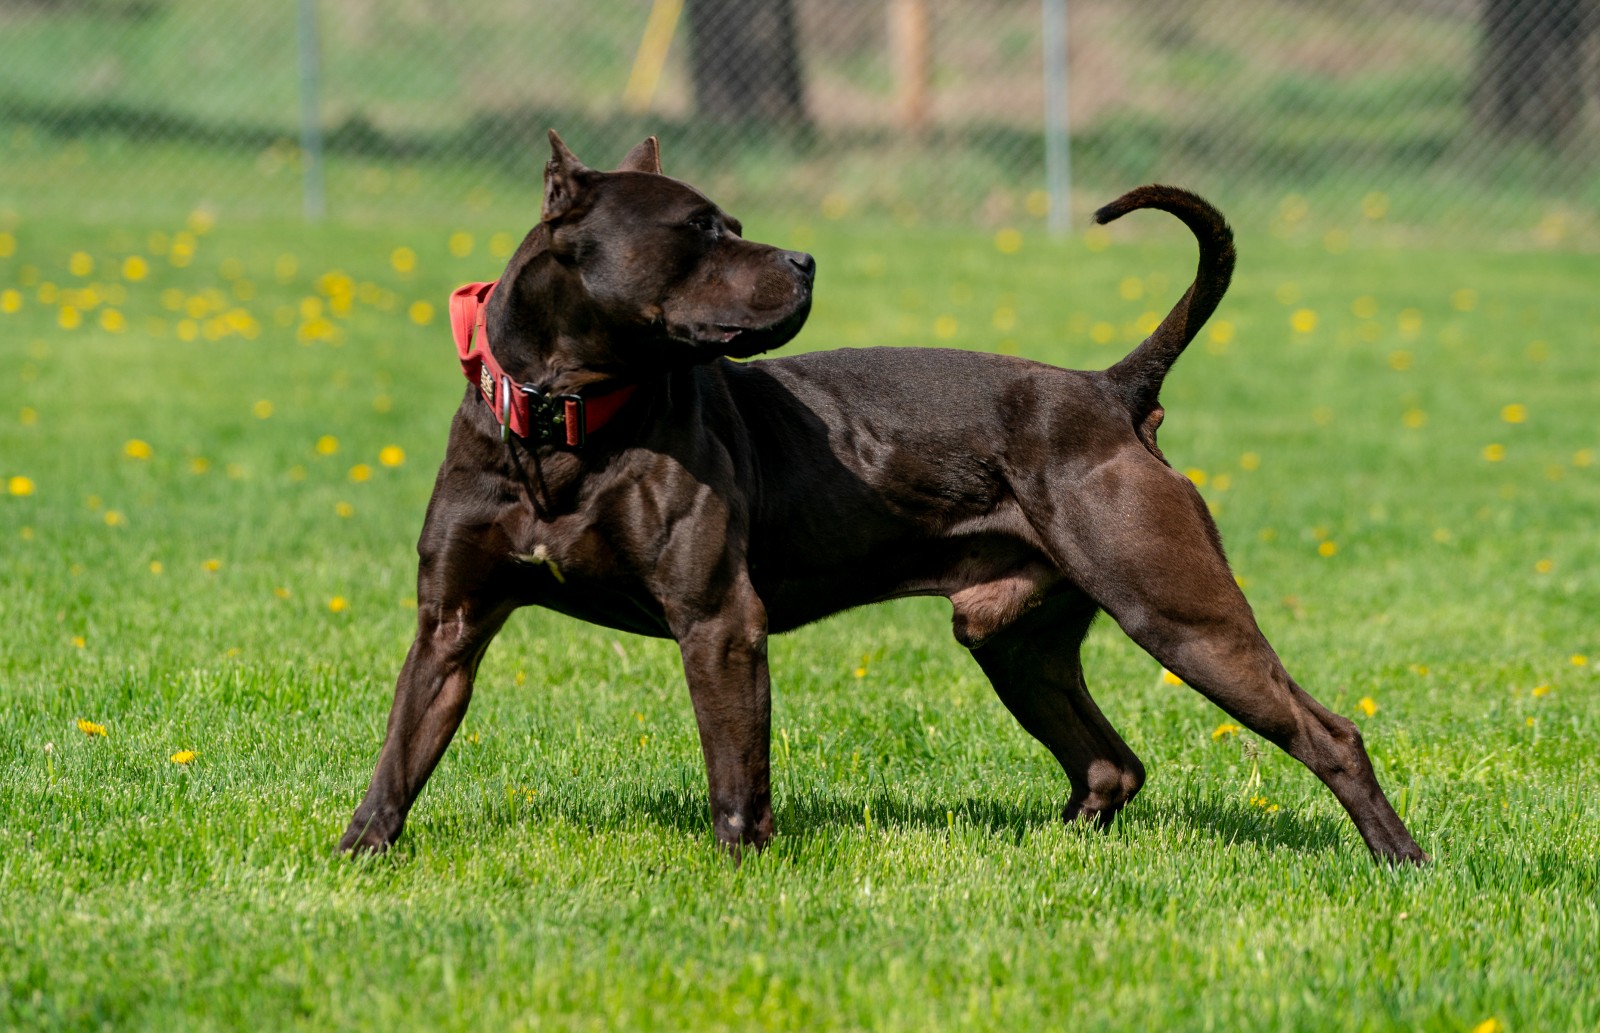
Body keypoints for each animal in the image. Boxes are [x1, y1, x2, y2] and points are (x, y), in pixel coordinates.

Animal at [334, 133, 1427, 869]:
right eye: (698, 230)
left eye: (732, 226)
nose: (805, 261)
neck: (564, 419)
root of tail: (1111, 388)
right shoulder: (451, 623)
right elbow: (399, 753)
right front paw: (354, 857)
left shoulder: (718, 622)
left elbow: (736, 773)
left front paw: (741, 872)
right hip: (1014, 640)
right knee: (1110, 763)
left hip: (1179, 614)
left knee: (1326, 732)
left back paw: (1400, 860)